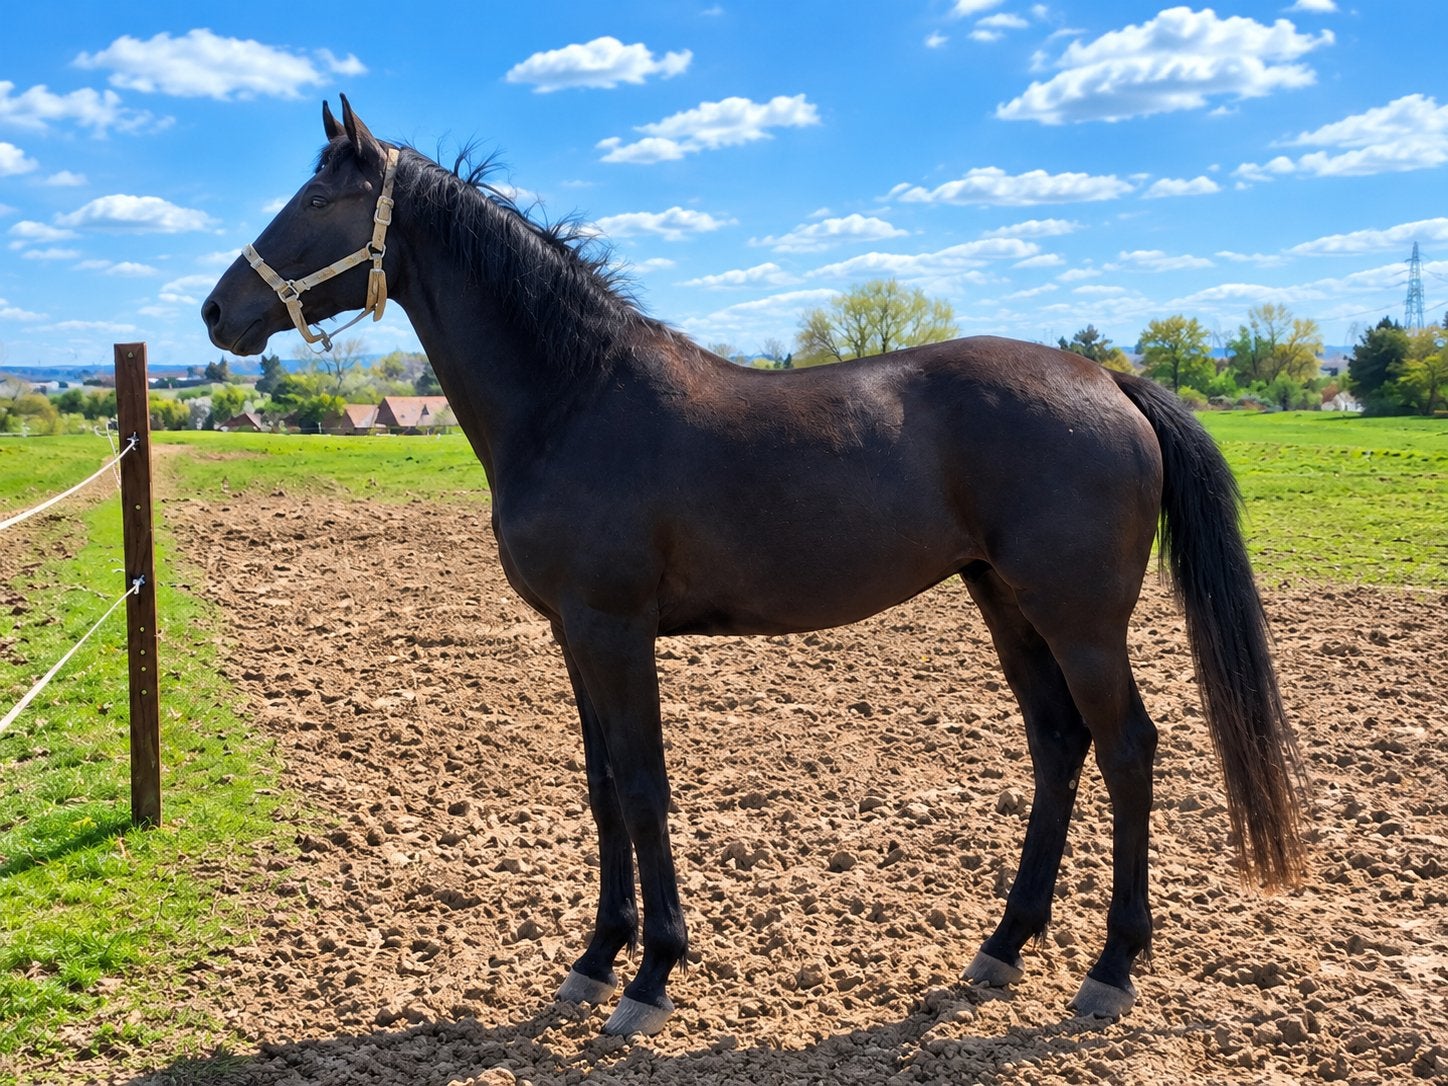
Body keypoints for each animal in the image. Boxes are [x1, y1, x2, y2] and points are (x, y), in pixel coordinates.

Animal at [202, 97, 1306, 1036]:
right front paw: (593, 960)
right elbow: (602, 787)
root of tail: (1109, 381)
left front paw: (650, 978)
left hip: (1079, 618)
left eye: (317, 201)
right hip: (1005, 601)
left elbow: (644, 785)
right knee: (1057, 743)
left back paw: (1110, 970)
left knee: (1126, 749)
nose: (217, 313)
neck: (574, 397)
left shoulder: (614, 629)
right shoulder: (573, 633)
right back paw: (1001, 948)